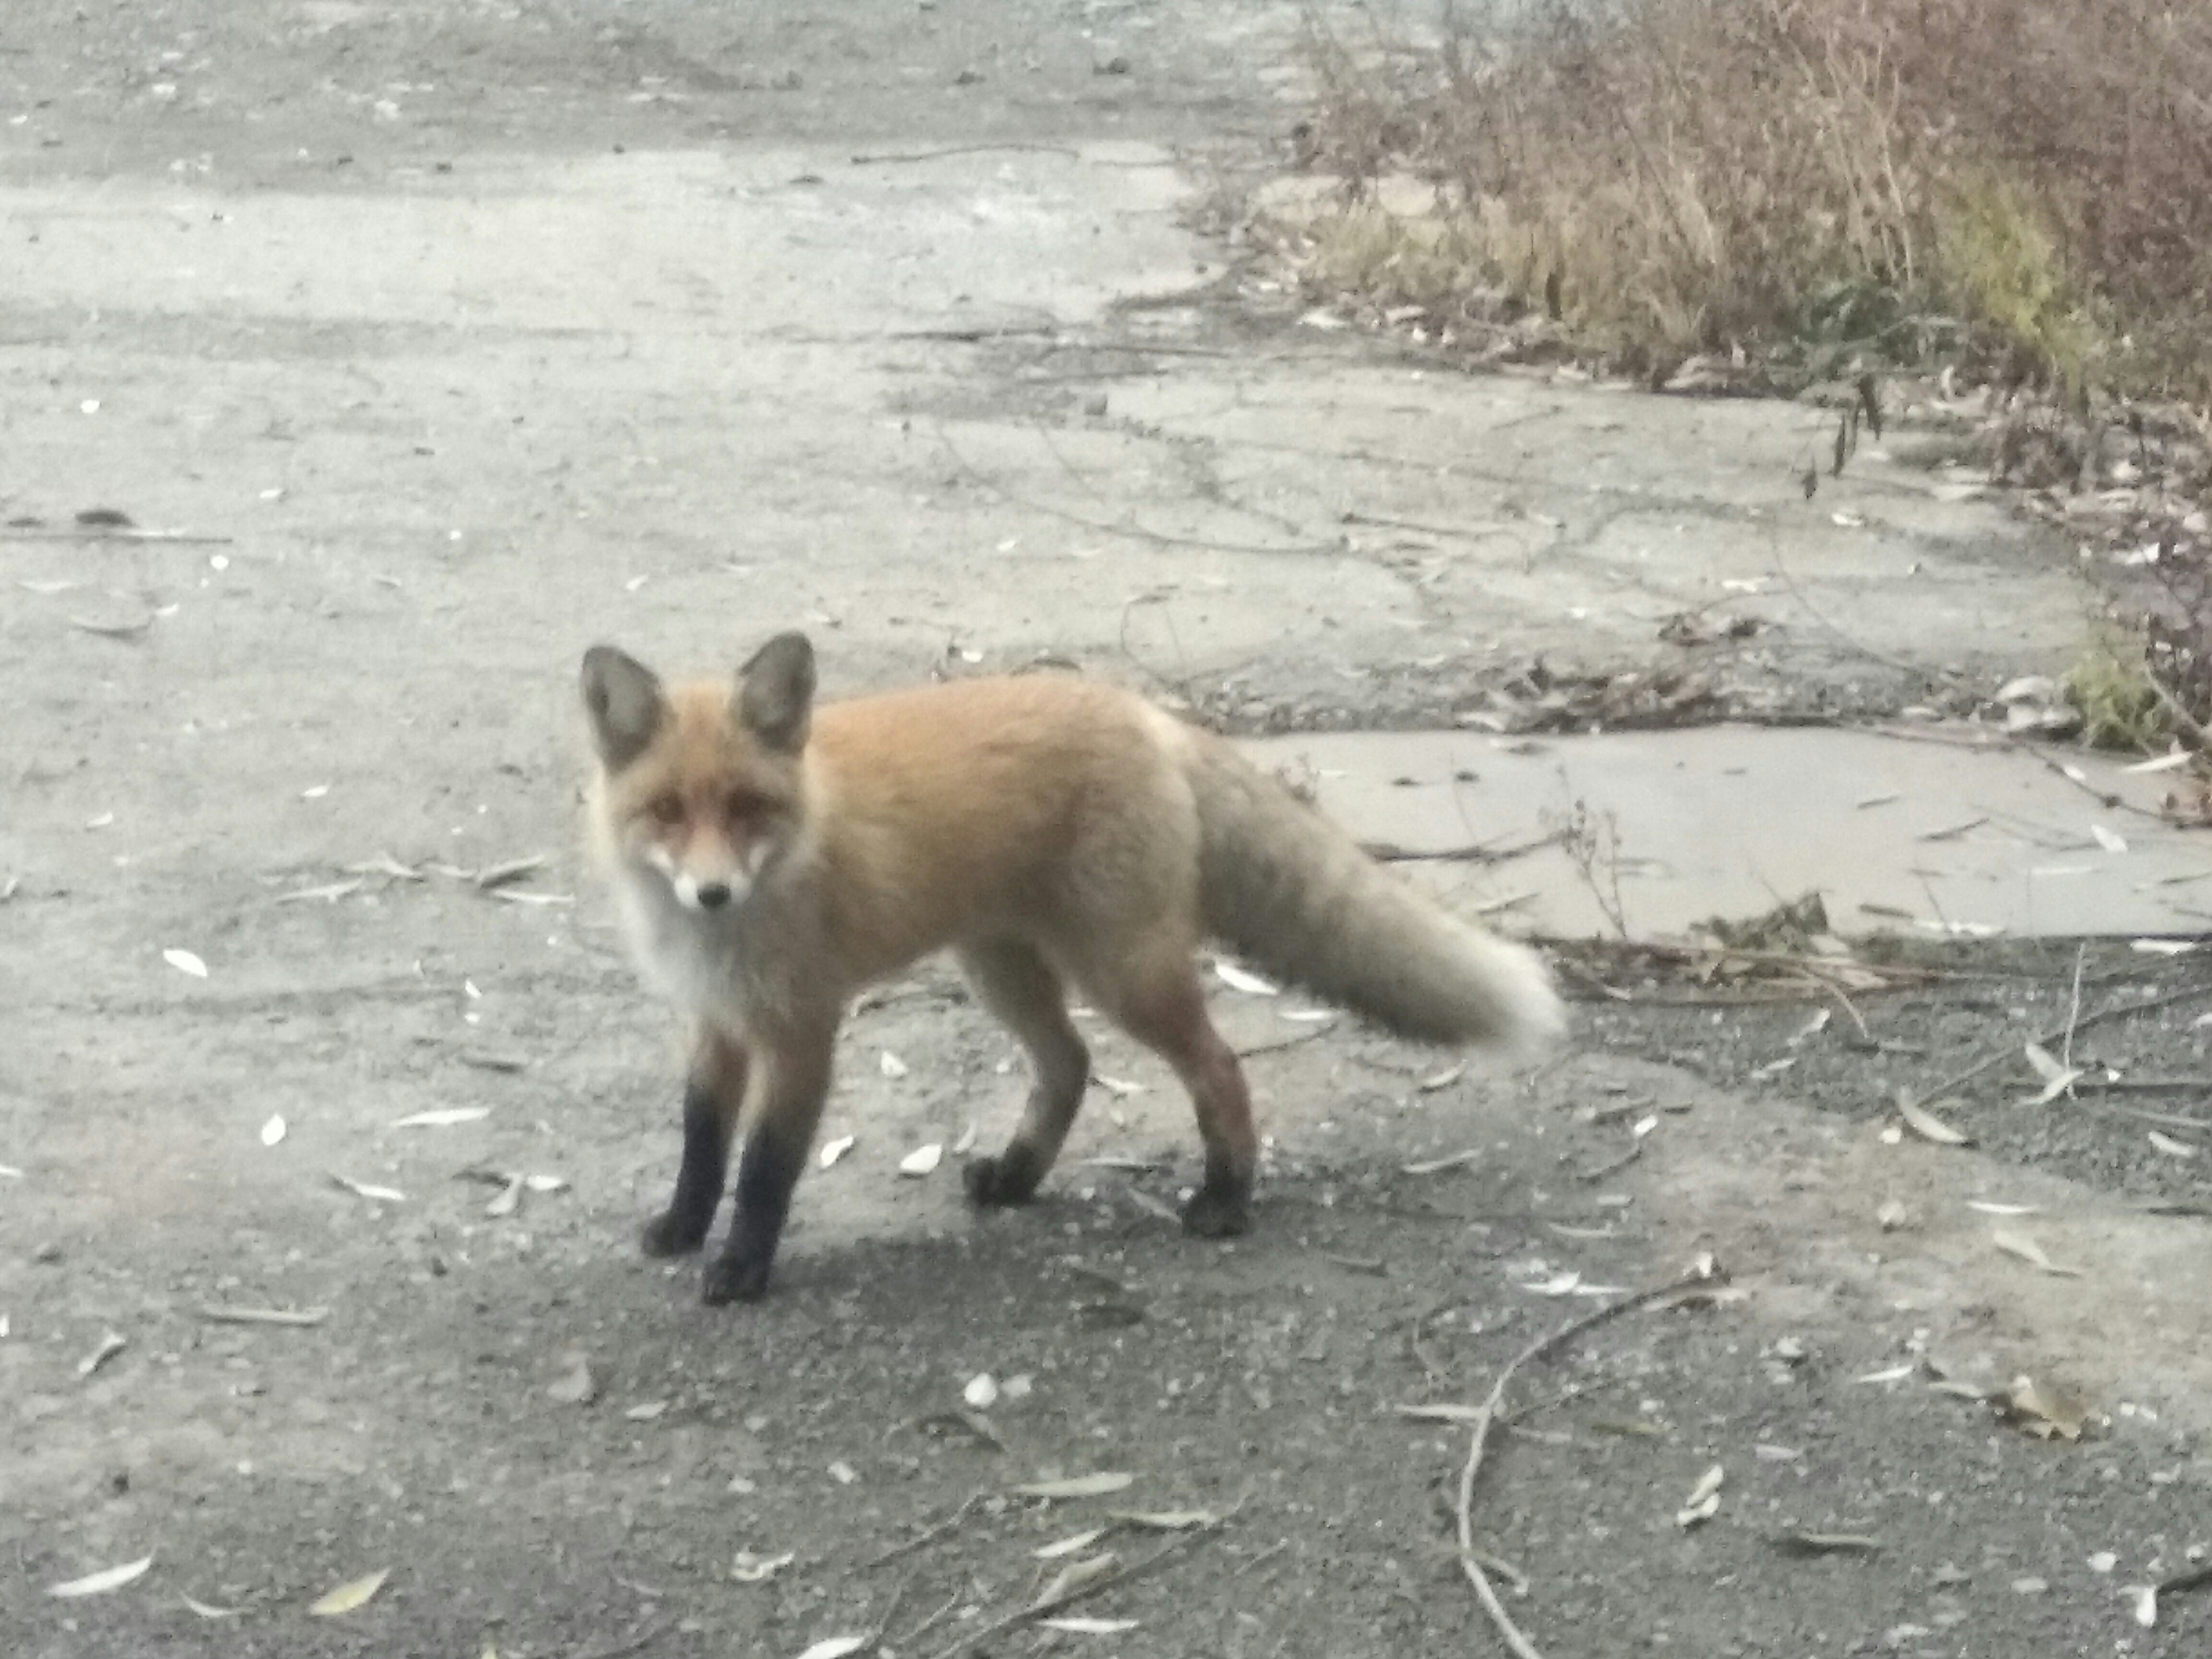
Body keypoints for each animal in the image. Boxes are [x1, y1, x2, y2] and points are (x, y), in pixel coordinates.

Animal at [579, 637, 1566, 1309]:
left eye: (749, 807)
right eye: (667, 812)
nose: (711, 892)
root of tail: (1145, 714)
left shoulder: (801, 1032)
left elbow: (764, 1170)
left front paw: (743, 1265)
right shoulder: (717, 1025)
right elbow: (702, 1144)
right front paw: (681, 1228)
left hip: (1122, 973)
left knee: (1218, 1069)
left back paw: (1226, 1200)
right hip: (1000, 969)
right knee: (1070, 1067)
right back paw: (1017, 1178)